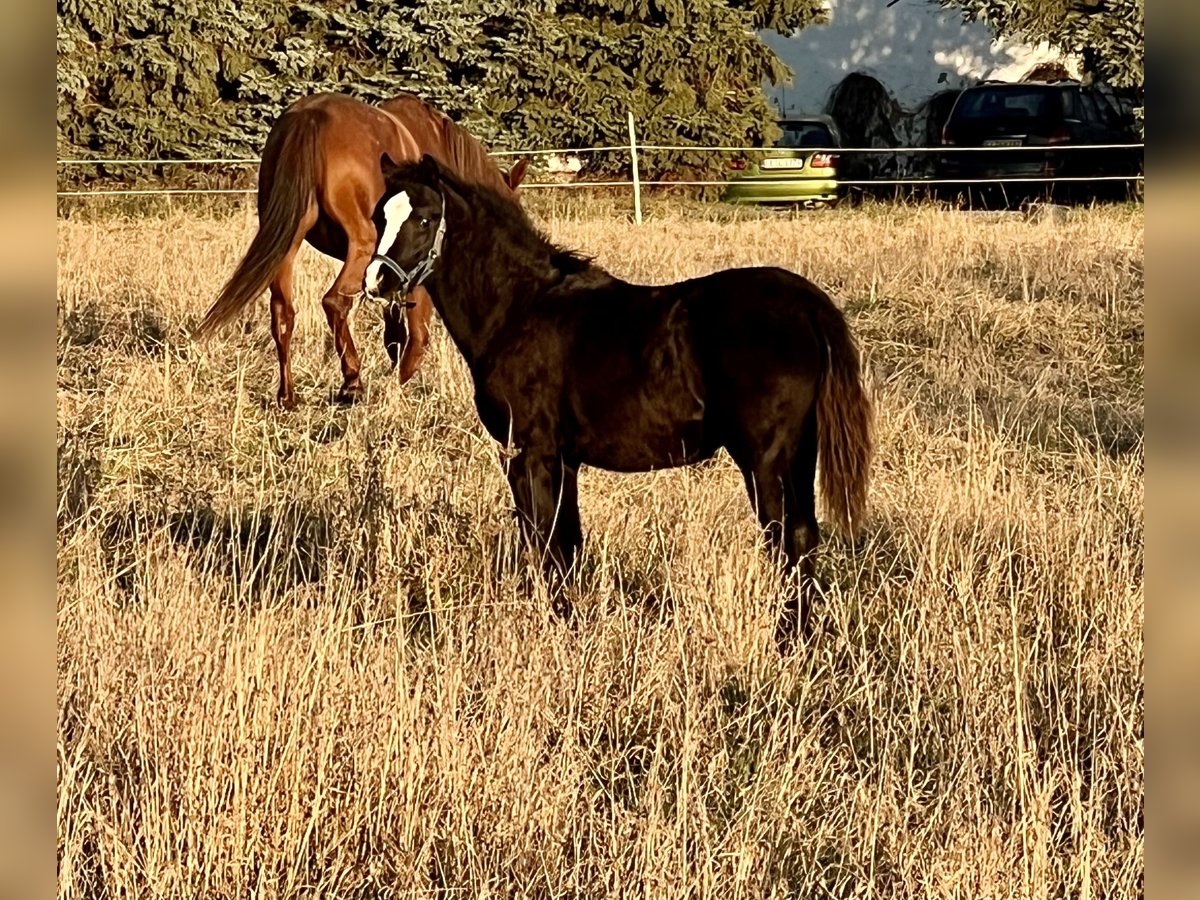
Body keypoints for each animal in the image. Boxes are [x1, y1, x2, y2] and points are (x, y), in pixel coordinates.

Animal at [195, 92, 528, 407]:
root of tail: (310, 117)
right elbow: (417, 333)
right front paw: (398, 381)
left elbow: (394, 332)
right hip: (361, 245)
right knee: (335, 301)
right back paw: (352, 381)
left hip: (287, 241)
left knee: (282, 312)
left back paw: (287, 395)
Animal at [367, 154, 873, 647]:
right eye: (379, 216)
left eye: (425, 218)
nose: (377, 281)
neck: (518, 310)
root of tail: (808, 305)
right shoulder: (564, 459)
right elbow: (567, 541)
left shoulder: (529, 452)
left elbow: (544, 539)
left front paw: (558, 627)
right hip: (799, 452)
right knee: (804, 536)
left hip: (765, 458)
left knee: (784, 539)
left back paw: (786, 642)